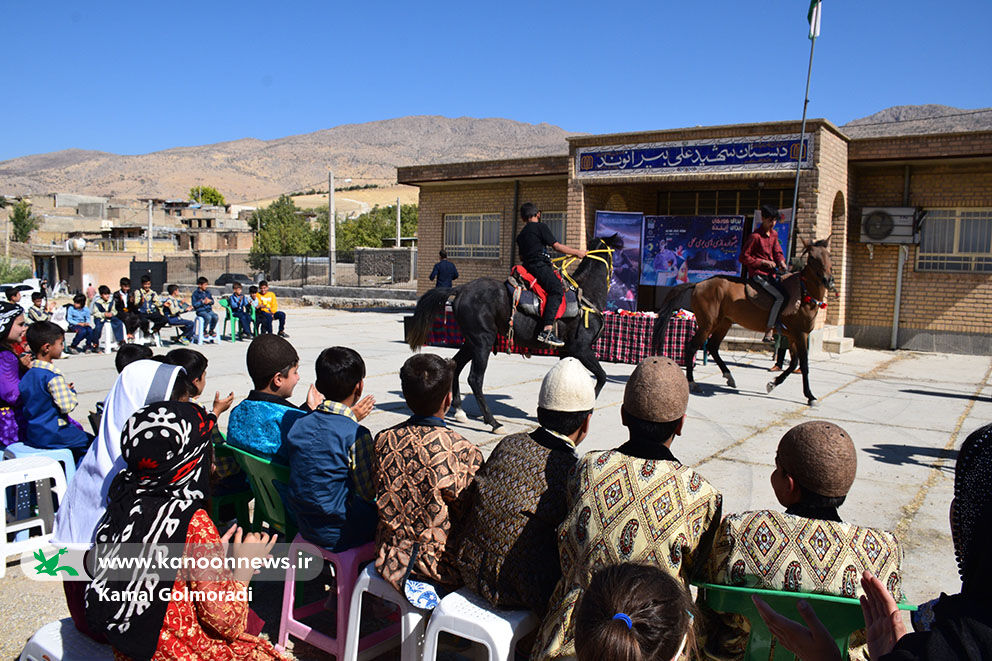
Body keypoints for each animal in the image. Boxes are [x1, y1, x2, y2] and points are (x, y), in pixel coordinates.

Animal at [404, 235, 620, 430]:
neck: (586, 295)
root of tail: (462, 289)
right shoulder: (580, 348)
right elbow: (601, 376)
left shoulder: (567, 353)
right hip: (482, 342)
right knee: (475, 379)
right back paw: (493, 422)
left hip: (471, 342)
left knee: (455, 365)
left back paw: (459, 412)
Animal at [656, 237, 832, 402]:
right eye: (812, 258)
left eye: (828, 255)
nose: (828, 280)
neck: (803, 295)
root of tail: (699, 284)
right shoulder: (800, 334)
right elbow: (804, 364)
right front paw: (810, 396)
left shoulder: (793, 335)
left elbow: (794, 362)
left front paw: (772, 384)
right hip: (707, 324)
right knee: (692, 347)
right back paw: (693, 383)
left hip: (723, 323)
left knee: (712, 346)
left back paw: (729, 377)